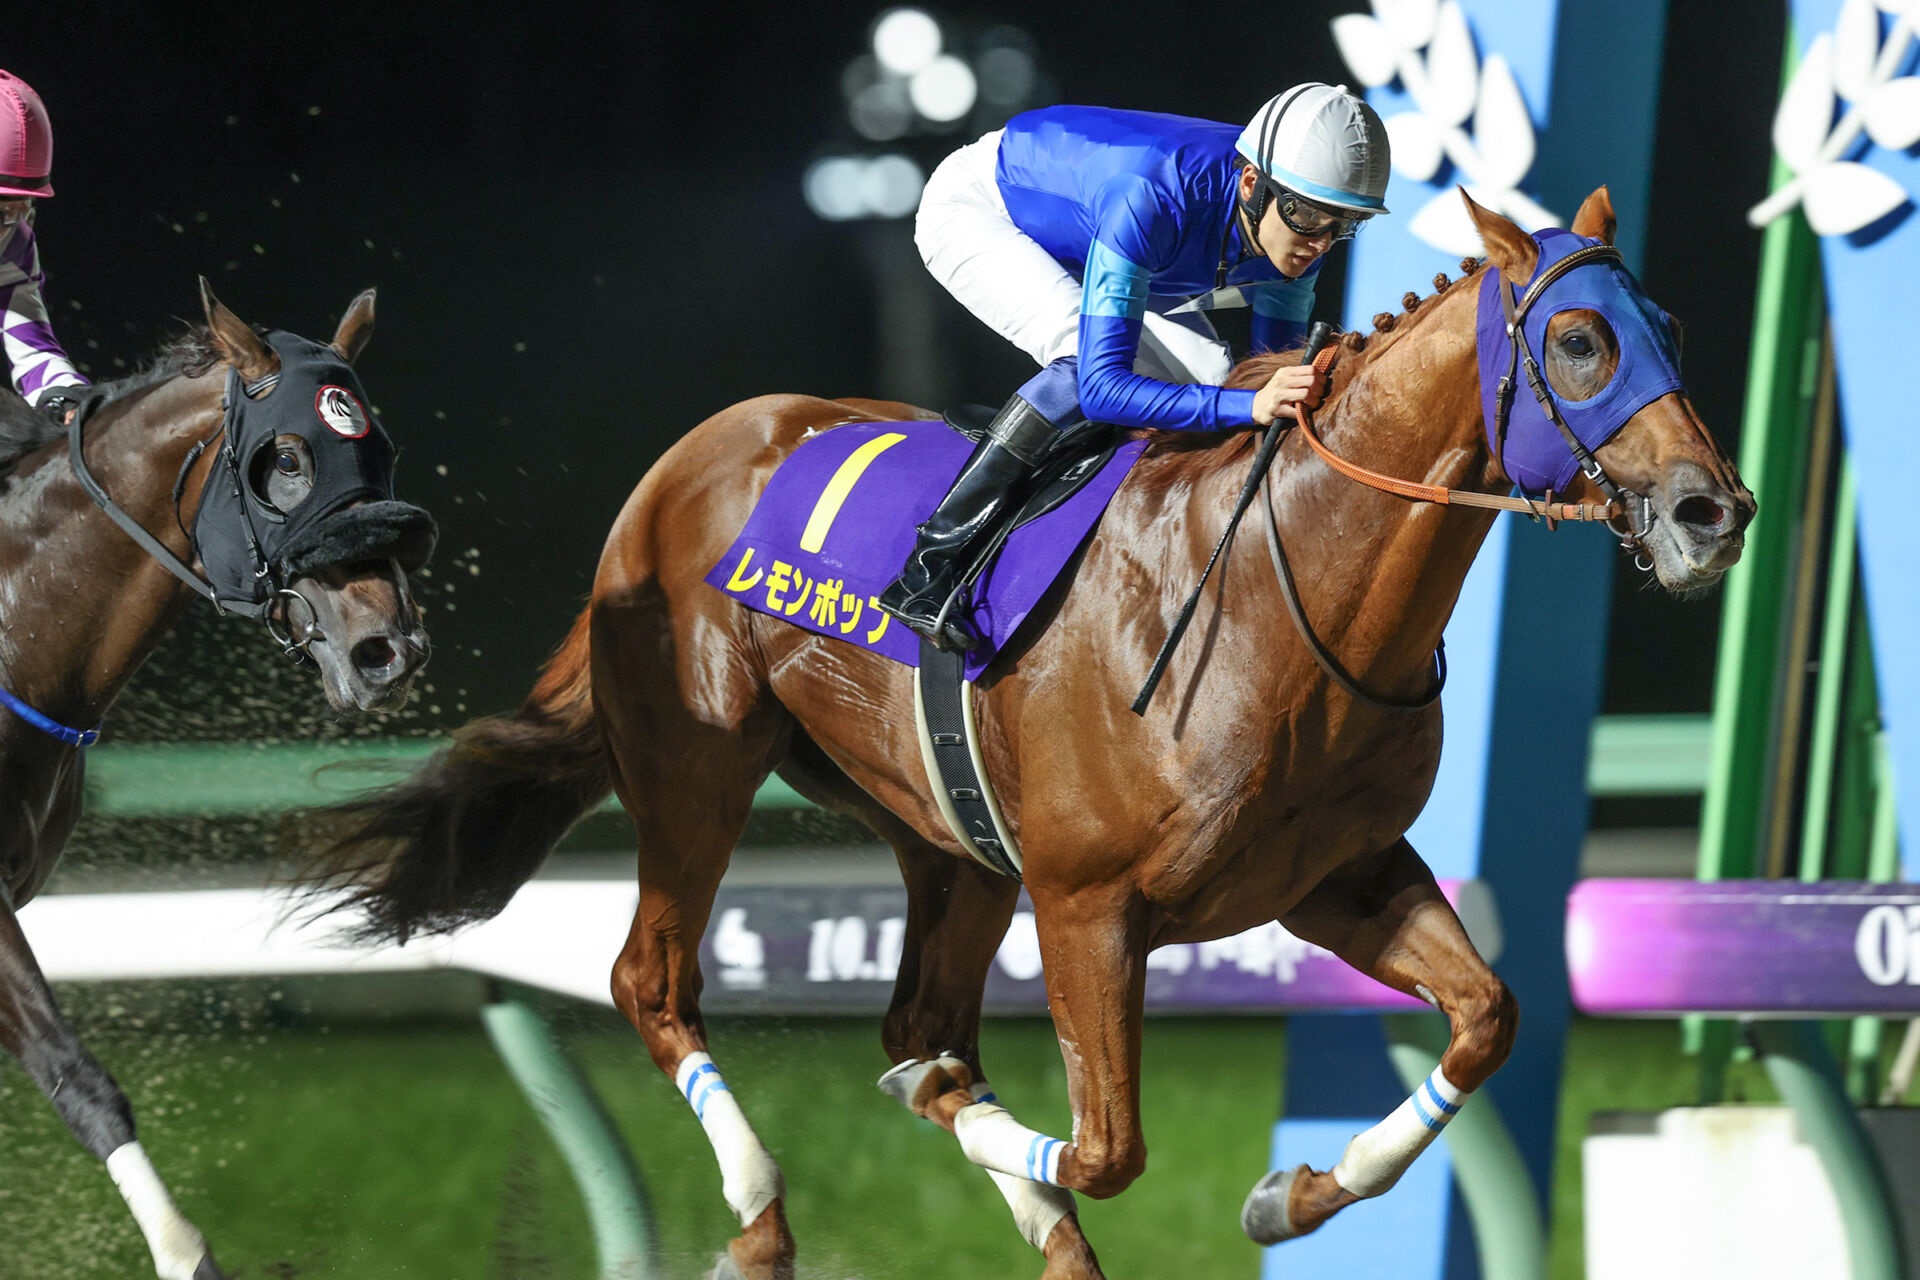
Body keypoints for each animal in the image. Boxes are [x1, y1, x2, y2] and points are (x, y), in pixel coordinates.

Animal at [293, 189, 1752, 1279]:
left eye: (1671, 322)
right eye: (1581, 340)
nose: (1713, 511)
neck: (1276, 591)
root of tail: (675, 465)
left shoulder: (1334, 874)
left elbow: (1487, 1016)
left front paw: (1289, 1193)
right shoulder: (1089, 903)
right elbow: (1107, 1148)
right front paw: (963, 1120)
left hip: (945, 835)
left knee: (916, 1012)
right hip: (697, 773)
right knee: (655, 981)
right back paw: (763, 1216)